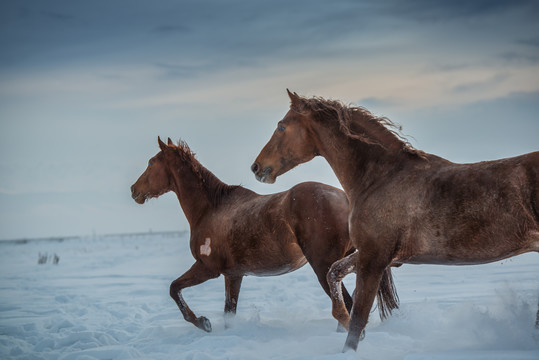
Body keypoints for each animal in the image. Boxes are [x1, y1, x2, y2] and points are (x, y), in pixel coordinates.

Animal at [131, 137, 400, 332]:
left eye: (151, 163)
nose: (134, 190)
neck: (211, 208)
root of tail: (344, 197)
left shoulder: (208, 268)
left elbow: (174, 288)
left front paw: (202, 323)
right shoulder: (233, 275)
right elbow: (229, 311)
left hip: (324, 266)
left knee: (347, 305)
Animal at [253, 90, 539, 352]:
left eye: (281, 126)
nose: (256, 167)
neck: (380, 177)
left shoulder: (374, 258)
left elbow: (358, 318)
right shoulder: (377, 255)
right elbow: (335, 274)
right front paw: (341, 316)